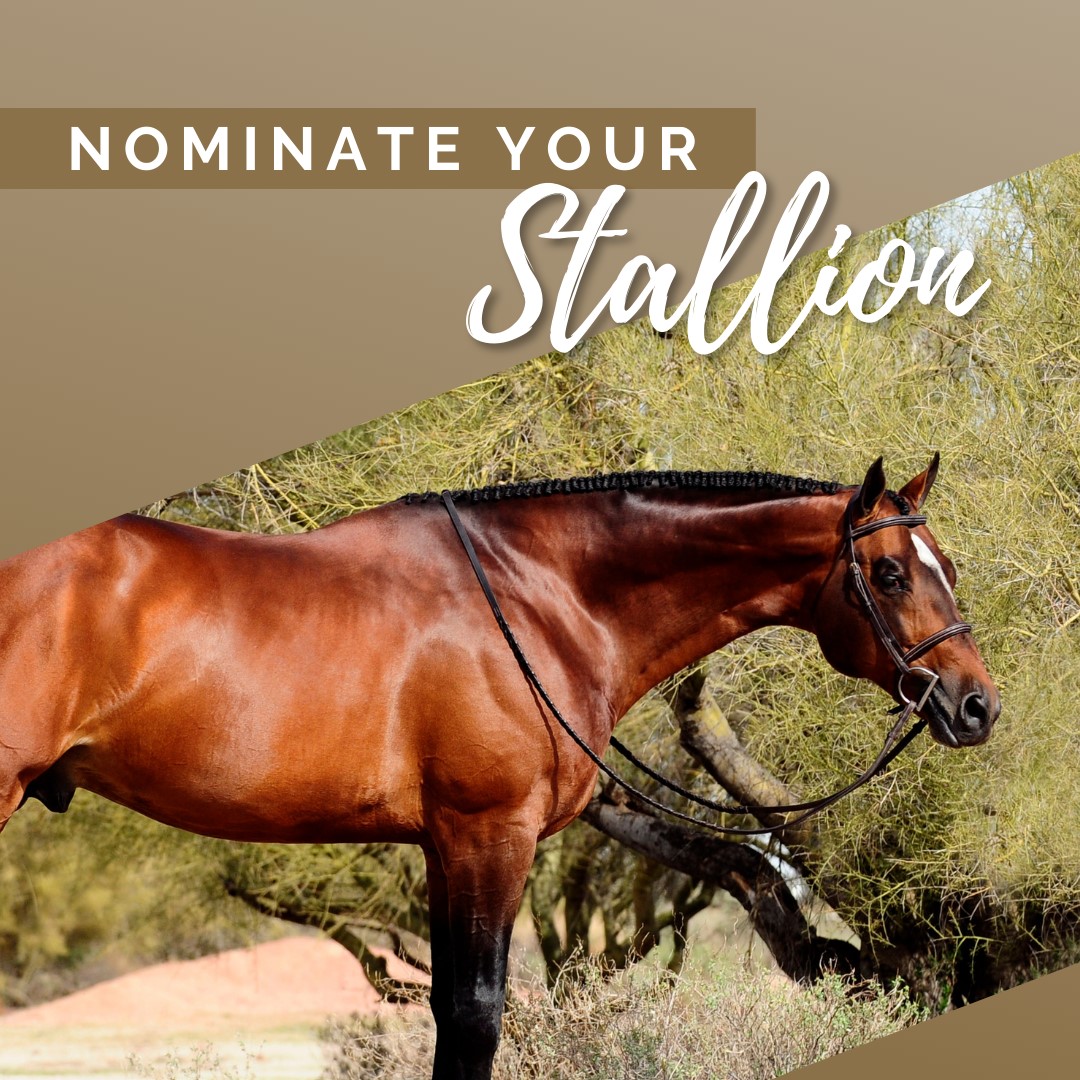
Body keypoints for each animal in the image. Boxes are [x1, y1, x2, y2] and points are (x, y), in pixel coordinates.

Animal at [0, 457, 993, 1080]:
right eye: (890, 572)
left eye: (946, 562)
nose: (976, 704)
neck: (538, 595)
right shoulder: (489, 833)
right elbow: (476, 1017)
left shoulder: (446, 845)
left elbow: (453, 1010)